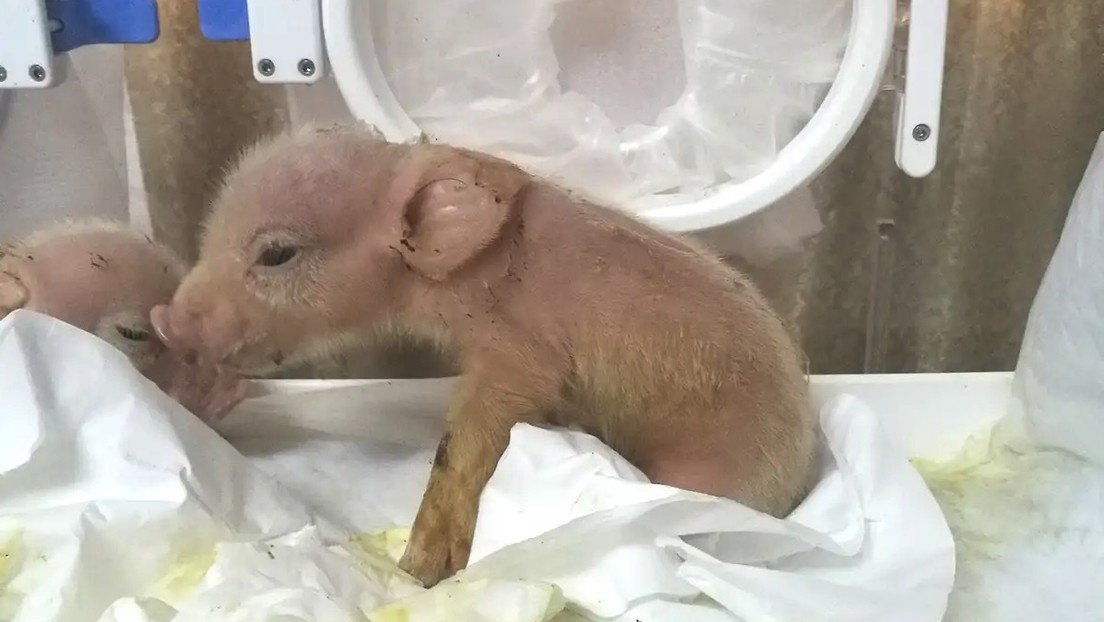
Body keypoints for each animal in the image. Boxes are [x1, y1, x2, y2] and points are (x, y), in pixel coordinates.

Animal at [149, 124, 818, 587]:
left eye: (277, 254)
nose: (164, 319)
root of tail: (798, 478)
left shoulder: (519, 355)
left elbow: (468, 440)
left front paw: (417, 570)